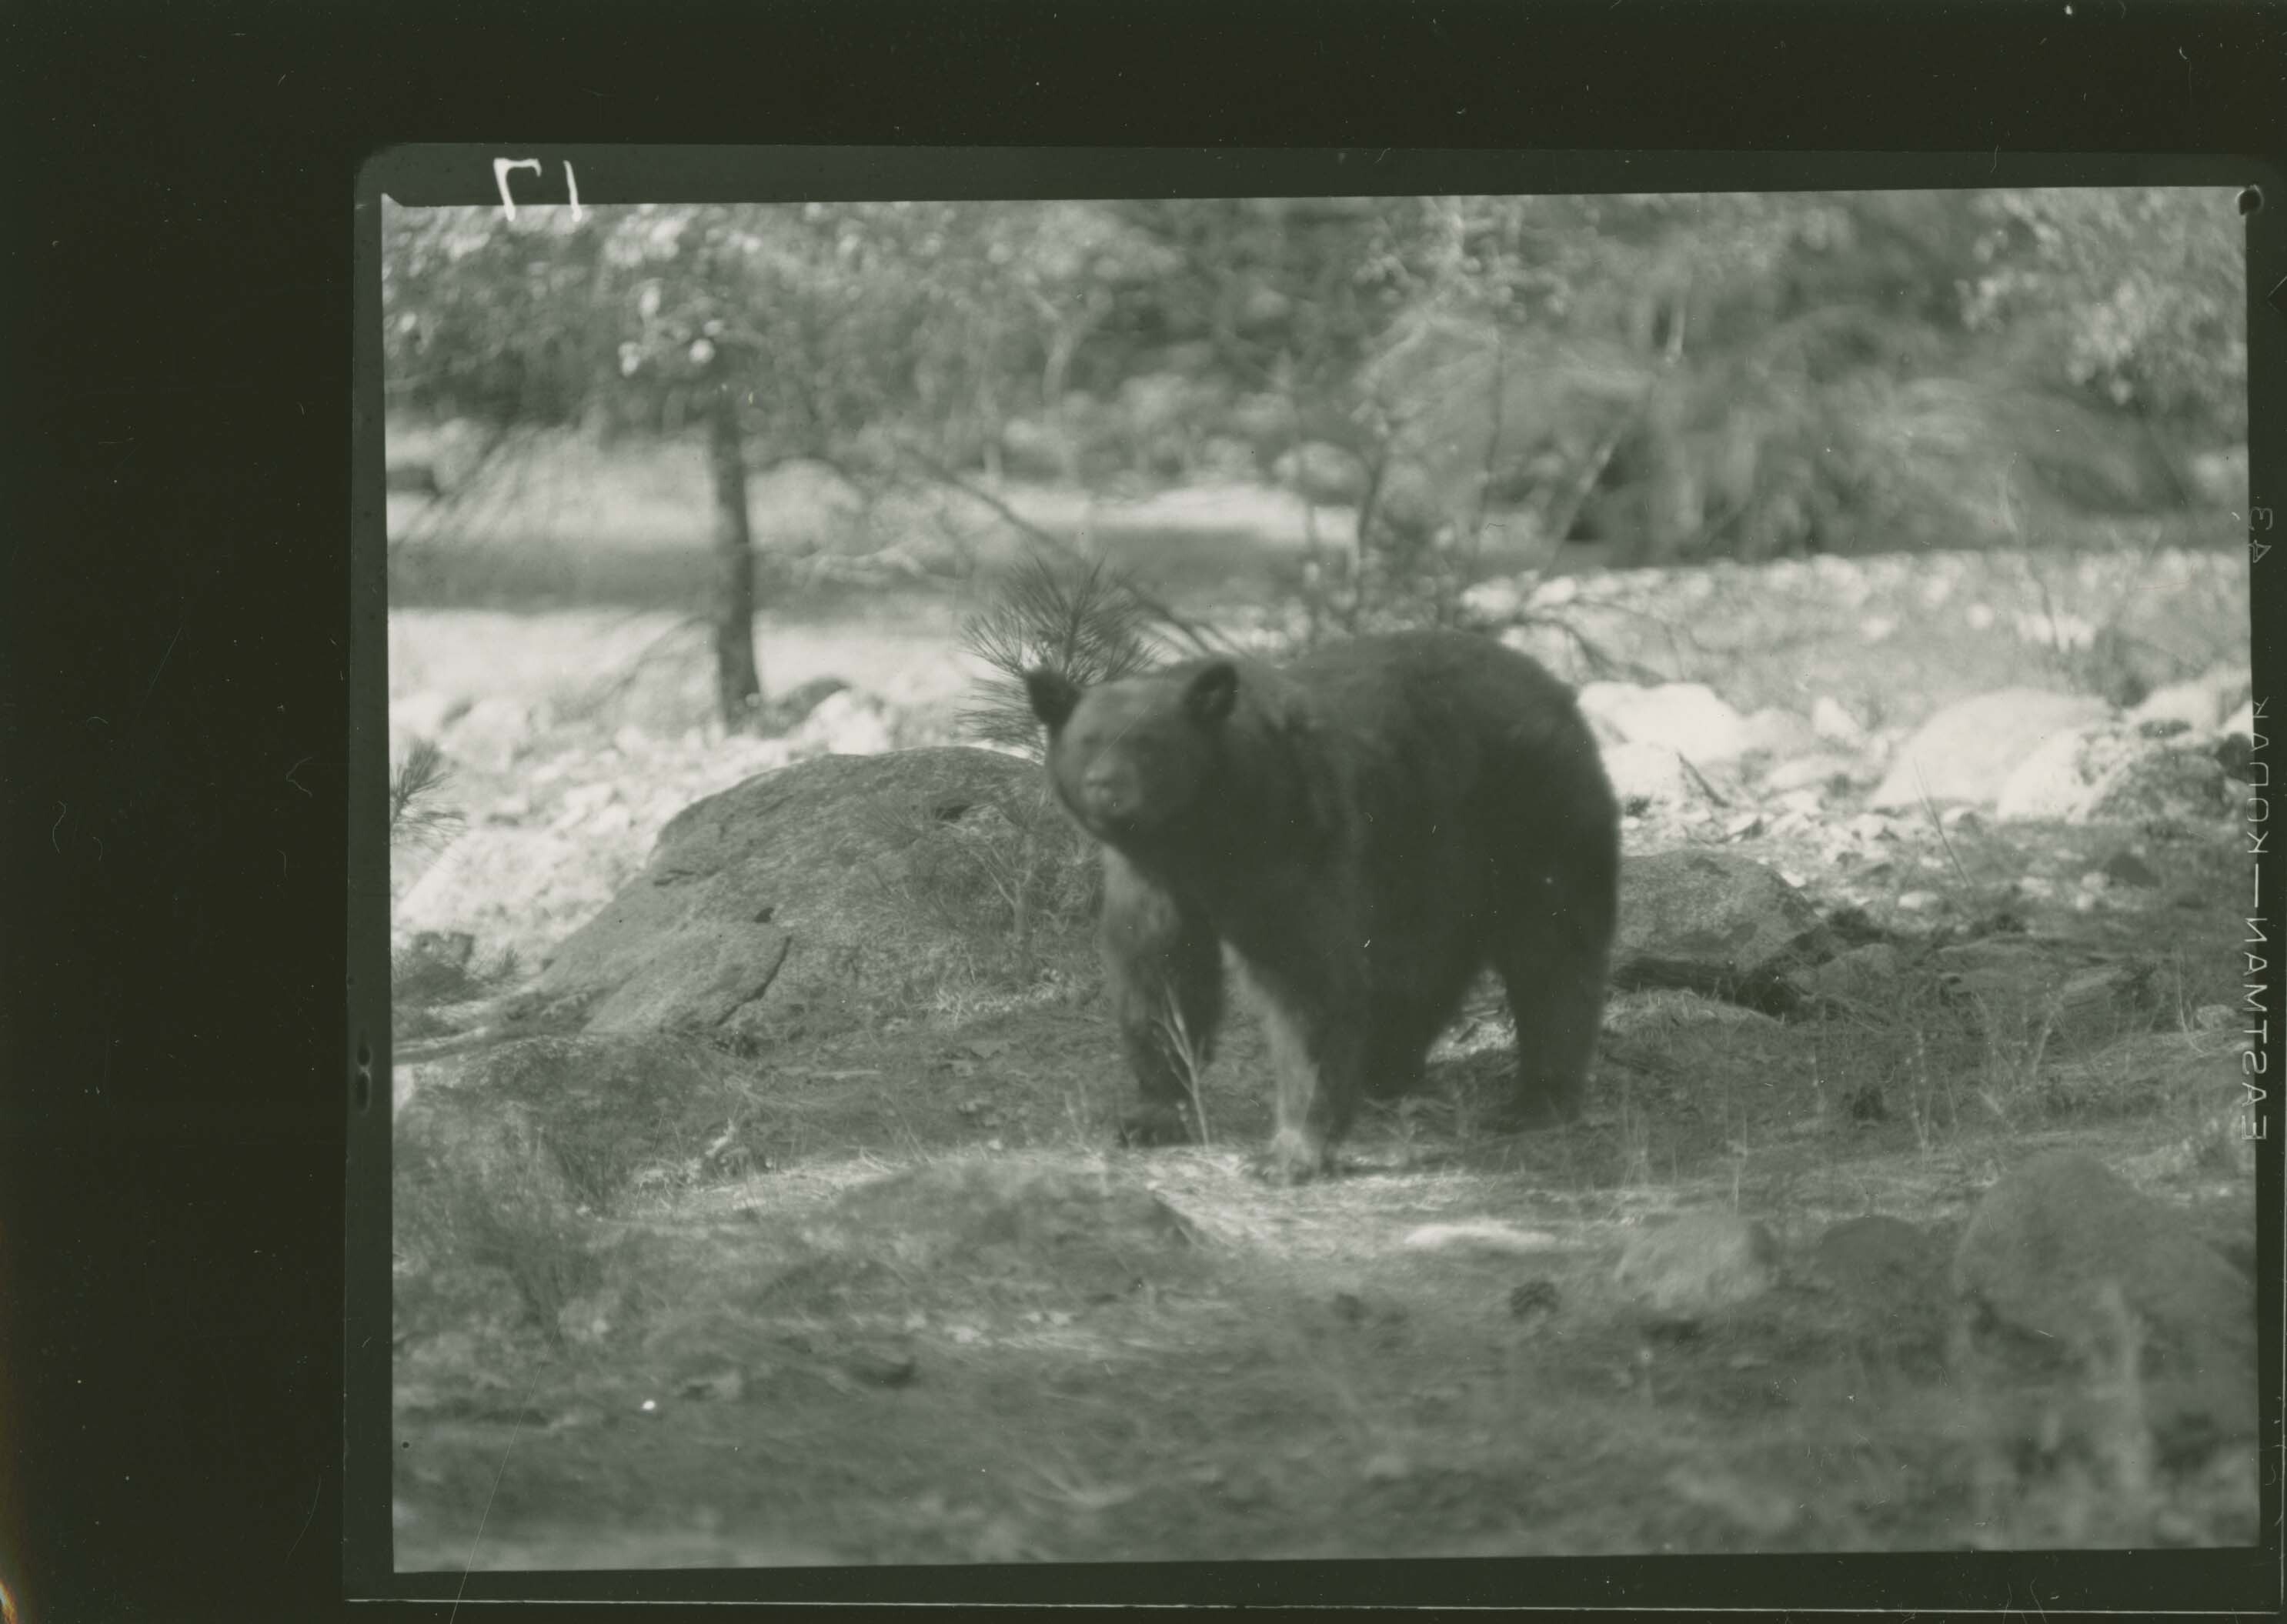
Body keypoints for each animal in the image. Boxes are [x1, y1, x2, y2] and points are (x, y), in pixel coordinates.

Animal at [1026, 628, 1620, 1184]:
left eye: (1149, 742)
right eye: (1086, 740)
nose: (1106, 788)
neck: (1204, 836)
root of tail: (1554, 686)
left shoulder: (1295, 841)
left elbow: (1307, 983)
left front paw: (1291, 1151)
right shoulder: (1154, 881)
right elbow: (1160, 978)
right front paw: (1151, 1115)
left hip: (1529, 815)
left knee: (1552, 951)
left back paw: (1539, 1098)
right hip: (1428, 850)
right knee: (1424, 963)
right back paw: (1386, 1066)